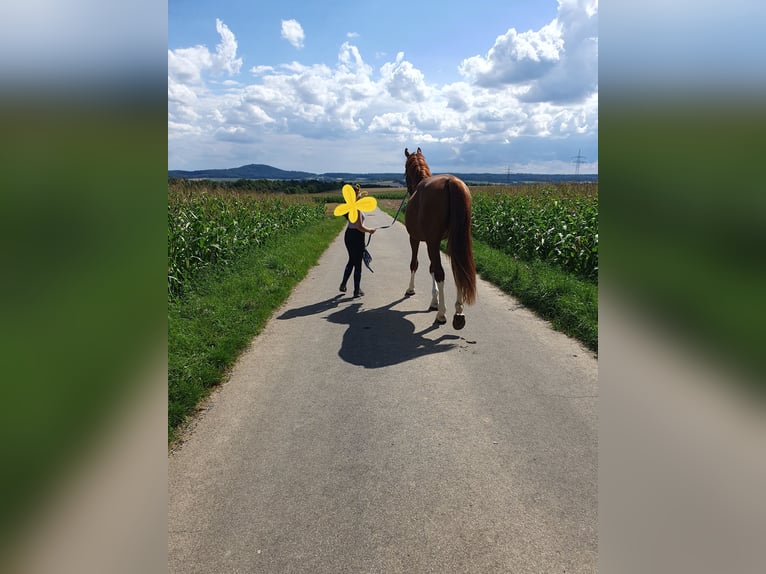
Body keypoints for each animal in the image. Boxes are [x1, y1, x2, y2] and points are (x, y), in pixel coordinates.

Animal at [404, 146, 476, 330]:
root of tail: (452, 182)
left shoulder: (416, 239)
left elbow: (415, 264)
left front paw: (411, 289)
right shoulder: (436, 242)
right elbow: (431, 268)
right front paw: (434, 301)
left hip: (431, 242)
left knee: (441, 273)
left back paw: (442, 315)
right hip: (456, 240)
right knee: (458, 270)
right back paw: (458, 313)